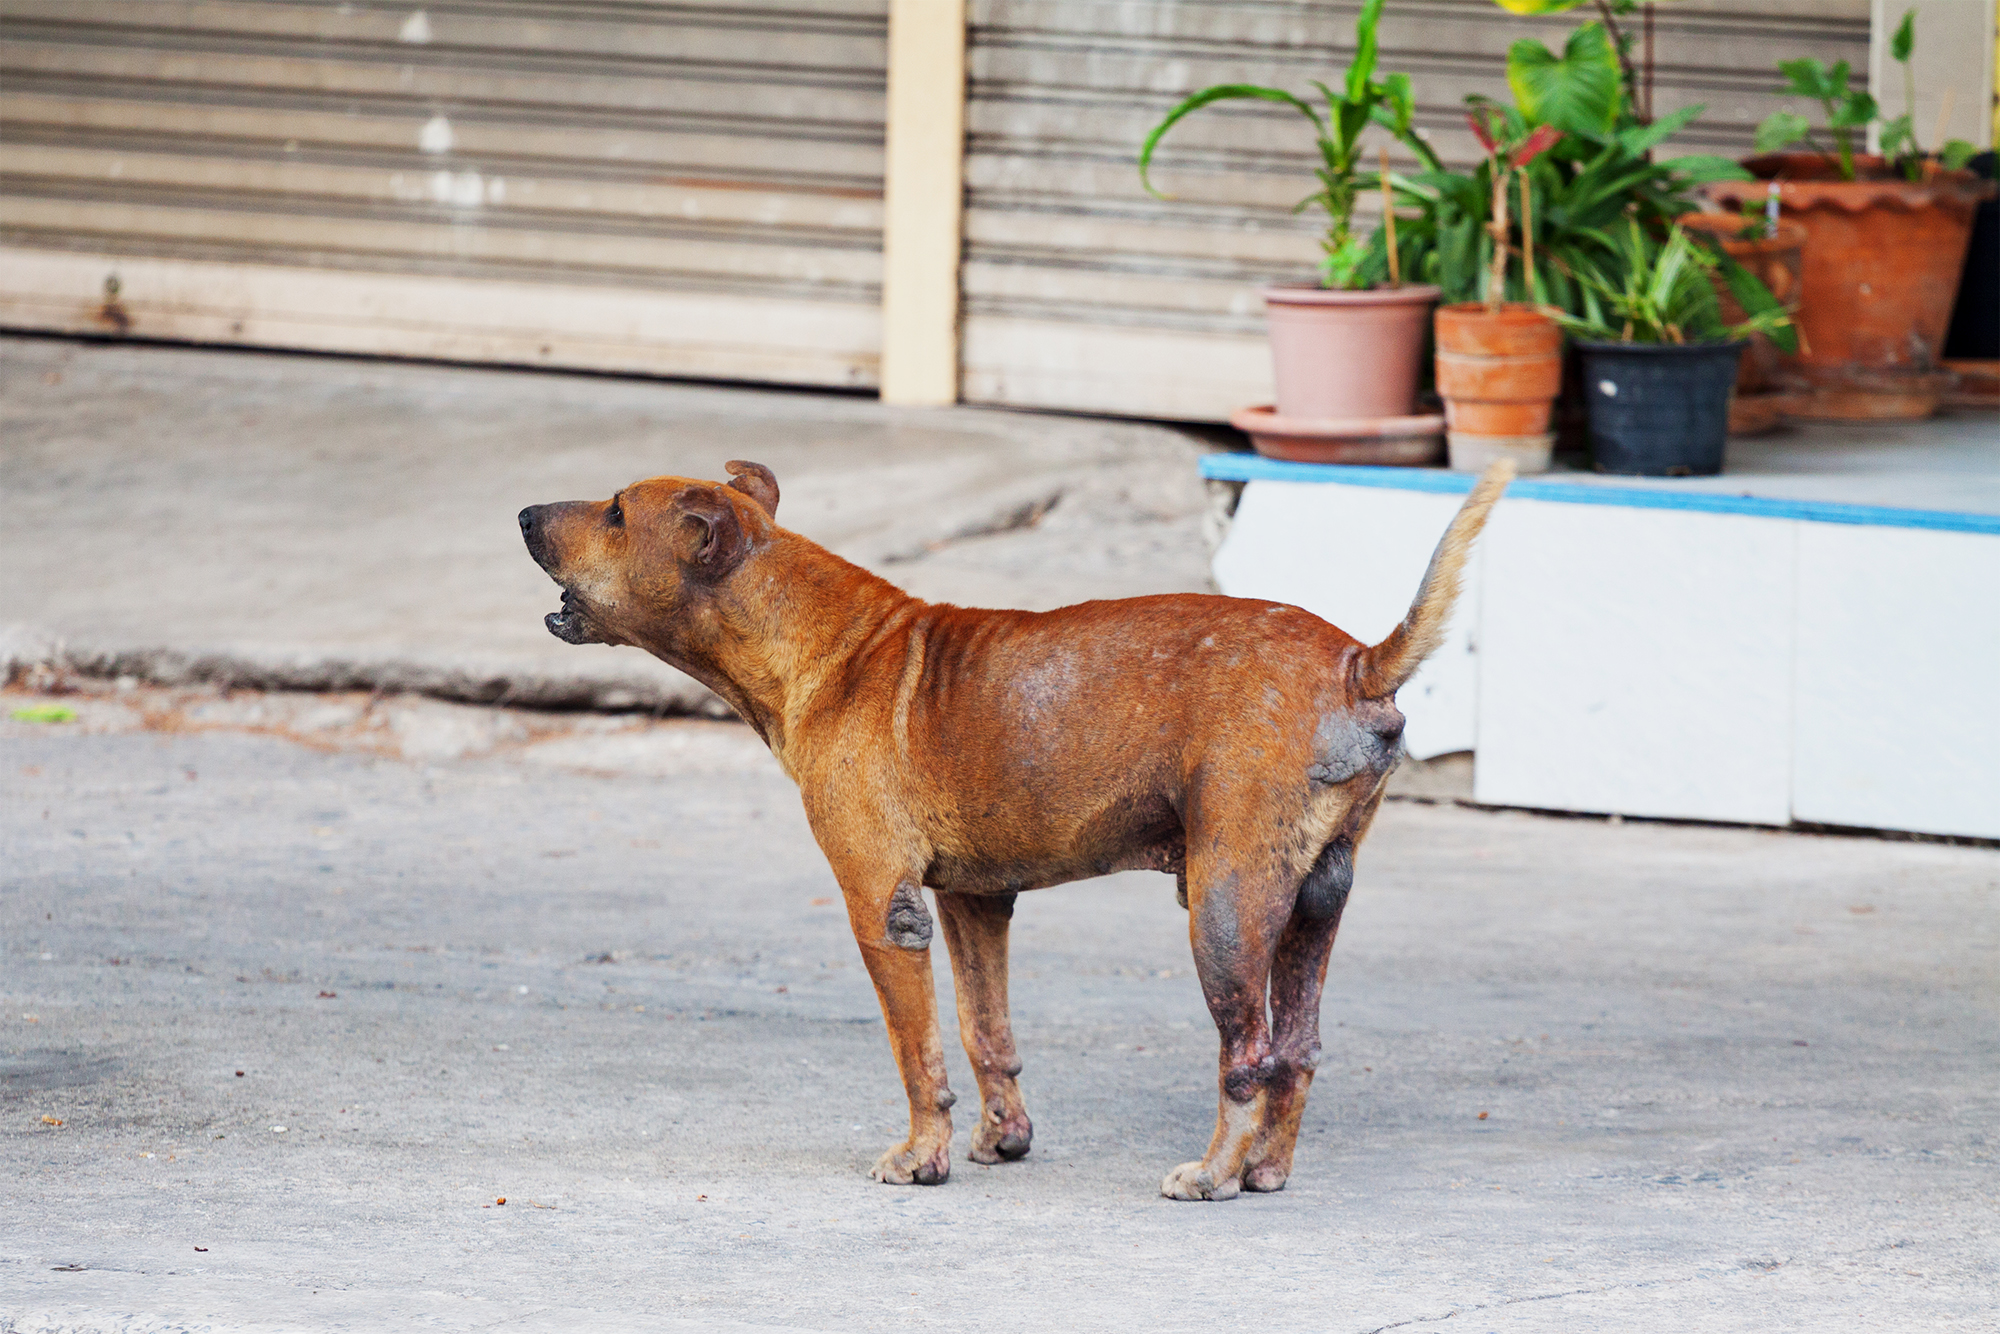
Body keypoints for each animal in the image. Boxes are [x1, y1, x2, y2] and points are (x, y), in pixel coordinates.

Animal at [524, 460, 1504, 1200]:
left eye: (615, 512)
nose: (526, 511)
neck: (825, 644)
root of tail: (1355, 664)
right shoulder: (975, 904)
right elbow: (984, 1033)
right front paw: (1003, 1140)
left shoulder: (882, 907)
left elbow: (916, 1052)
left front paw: (921, 1158)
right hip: (1312, 905)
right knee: (1296, 1050)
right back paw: (1264, 1172)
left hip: (1225, 908)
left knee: (1249, 1055)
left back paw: (1213, 1173)